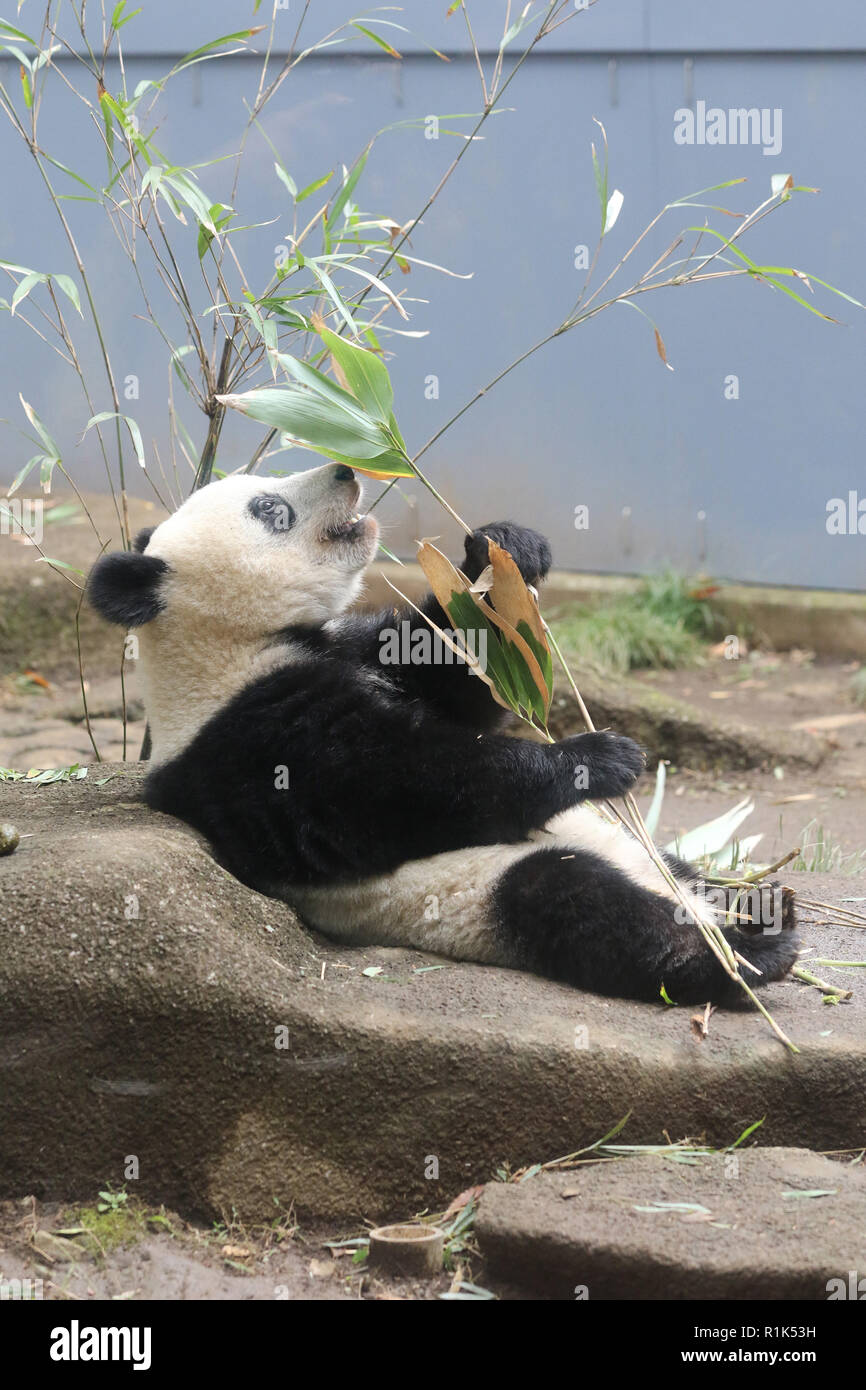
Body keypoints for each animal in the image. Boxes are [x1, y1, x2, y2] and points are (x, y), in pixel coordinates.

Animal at [88, 461, 800, 1006]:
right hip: (482, 895)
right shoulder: (255, 739)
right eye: (269, 508)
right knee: (581, 904)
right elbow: (409, 788)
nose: (346, 470)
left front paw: (502, 550)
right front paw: (598, 756)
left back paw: (758, 906)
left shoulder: (355, 650)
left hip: (656, 858)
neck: (233, 649)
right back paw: (750, 952)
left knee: (687, 875)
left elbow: (458, 665)